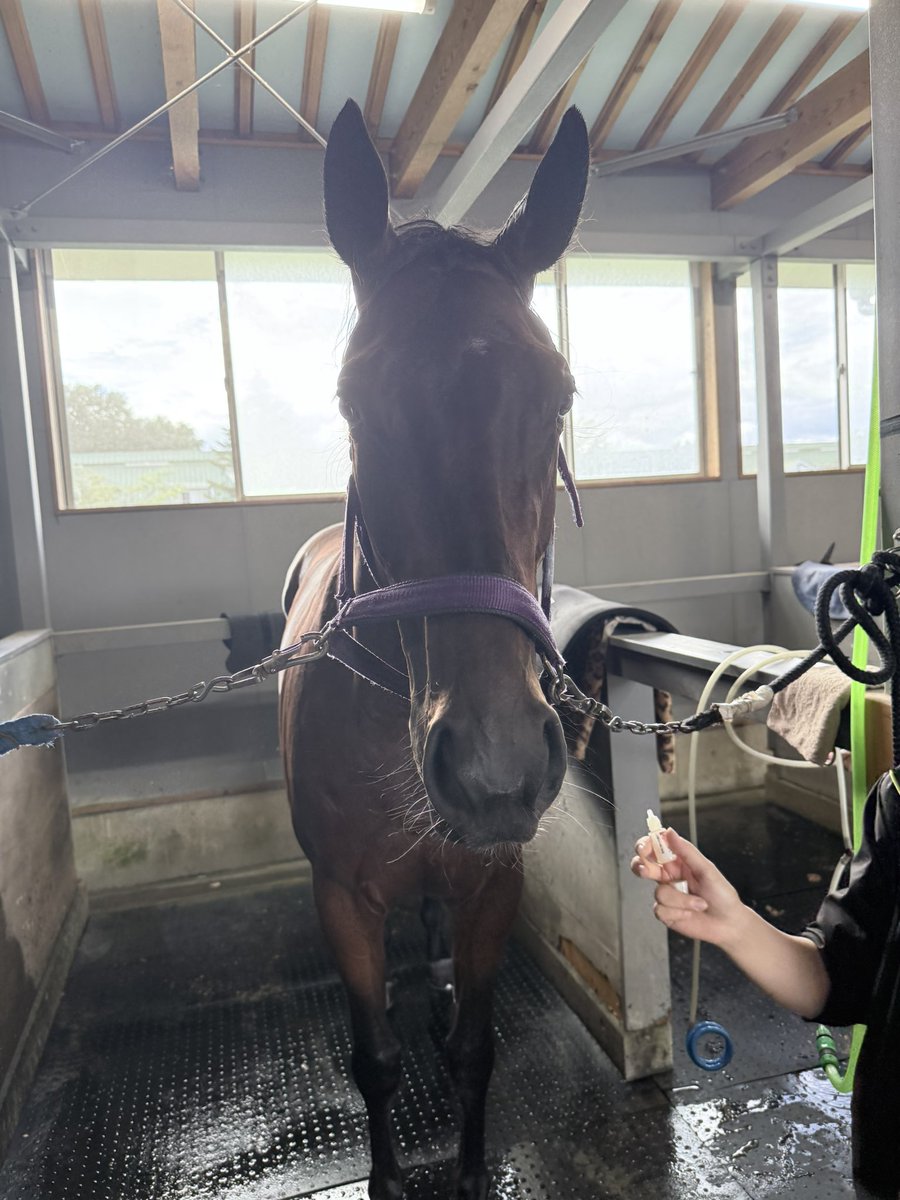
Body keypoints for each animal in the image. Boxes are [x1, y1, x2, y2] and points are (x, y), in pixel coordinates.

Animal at [279, 99, 589, 1200]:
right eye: (351, 402)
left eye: (559, 396)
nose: (497, 768)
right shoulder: (341, 897)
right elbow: (377, 1059)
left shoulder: (494, 886)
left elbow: (471, 1050)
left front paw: (468, 1164)